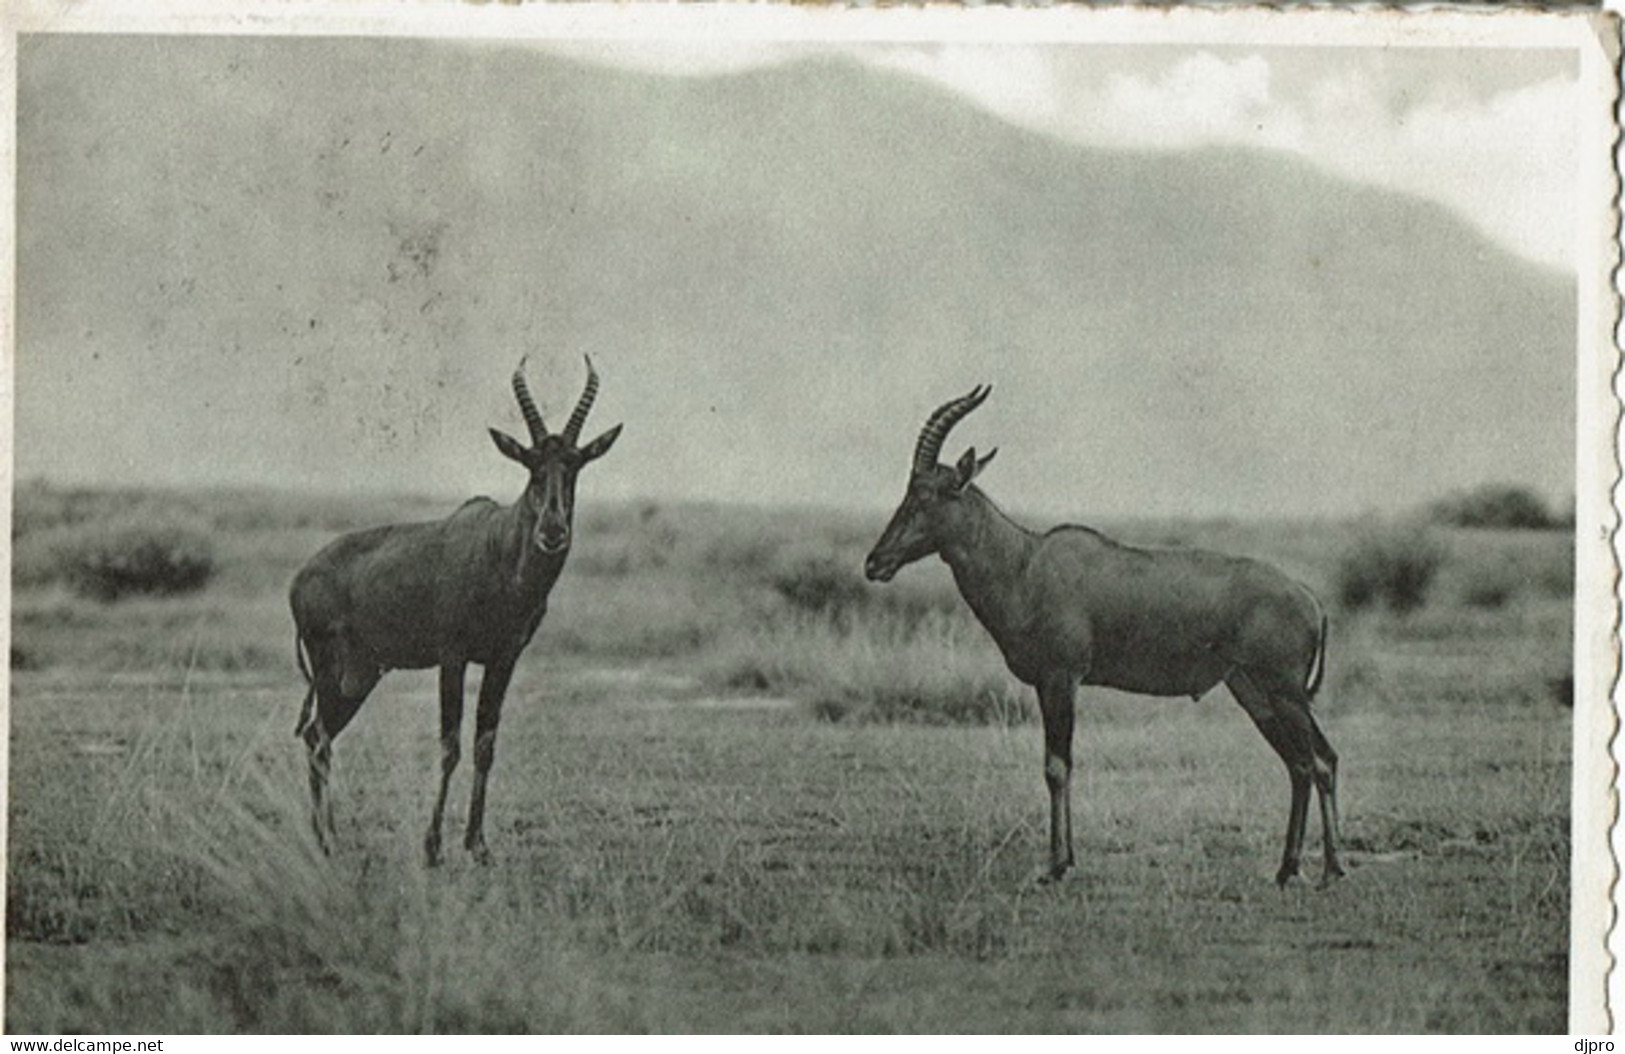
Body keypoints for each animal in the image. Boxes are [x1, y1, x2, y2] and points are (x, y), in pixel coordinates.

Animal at [292, 354, 620, 863]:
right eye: (530, 465)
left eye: (575, 464)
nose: (552, 532)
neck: (497, 549)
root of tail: (299, 578)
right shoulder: (452, 656)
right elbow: (450, 745)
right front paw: (432, 848)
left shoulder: (504, 658)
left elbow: (485, 744)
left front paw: (478, 846)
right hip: (331, 671)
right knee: (318, 738)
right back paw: (326, 842)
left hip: (359, 677)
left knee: (318, 737)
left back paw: (329, 839)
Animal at [858, 381, 1339, 883]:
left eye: (927, 495)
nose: (875, 563)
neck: (1026, 563)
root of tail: (1309, 598)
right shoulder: (1048, 684)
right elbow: (1058, 764)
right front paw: (1064, 859)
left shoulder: (1061, 678)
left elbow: (1057, 766)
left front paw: (1056, 867)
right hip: (1254, 692)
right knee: (1299, 764)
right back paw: (1286, 870)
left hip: (1285, 692)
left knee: (1322, 760)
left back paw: (1330, 870)